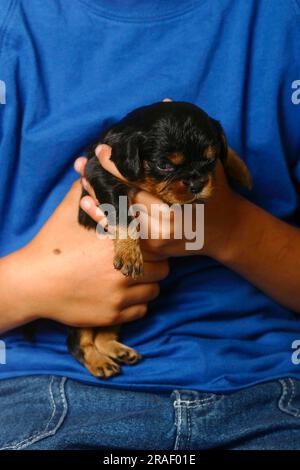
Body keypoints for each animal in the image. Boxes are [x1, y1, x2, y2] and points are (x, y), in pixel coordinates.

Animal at [67, 100, 252, 378]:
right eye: (164, 165)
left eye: (210, 160)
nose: (197, 184)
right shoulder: (101, 172)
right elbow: (121, 213)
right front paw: (129, 253)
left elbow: (228, 151)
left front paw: (241, 170)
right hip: (85, 313)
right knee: (79, 342)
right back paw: (98, 362)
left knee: (104, 333)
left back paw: (117, 350)